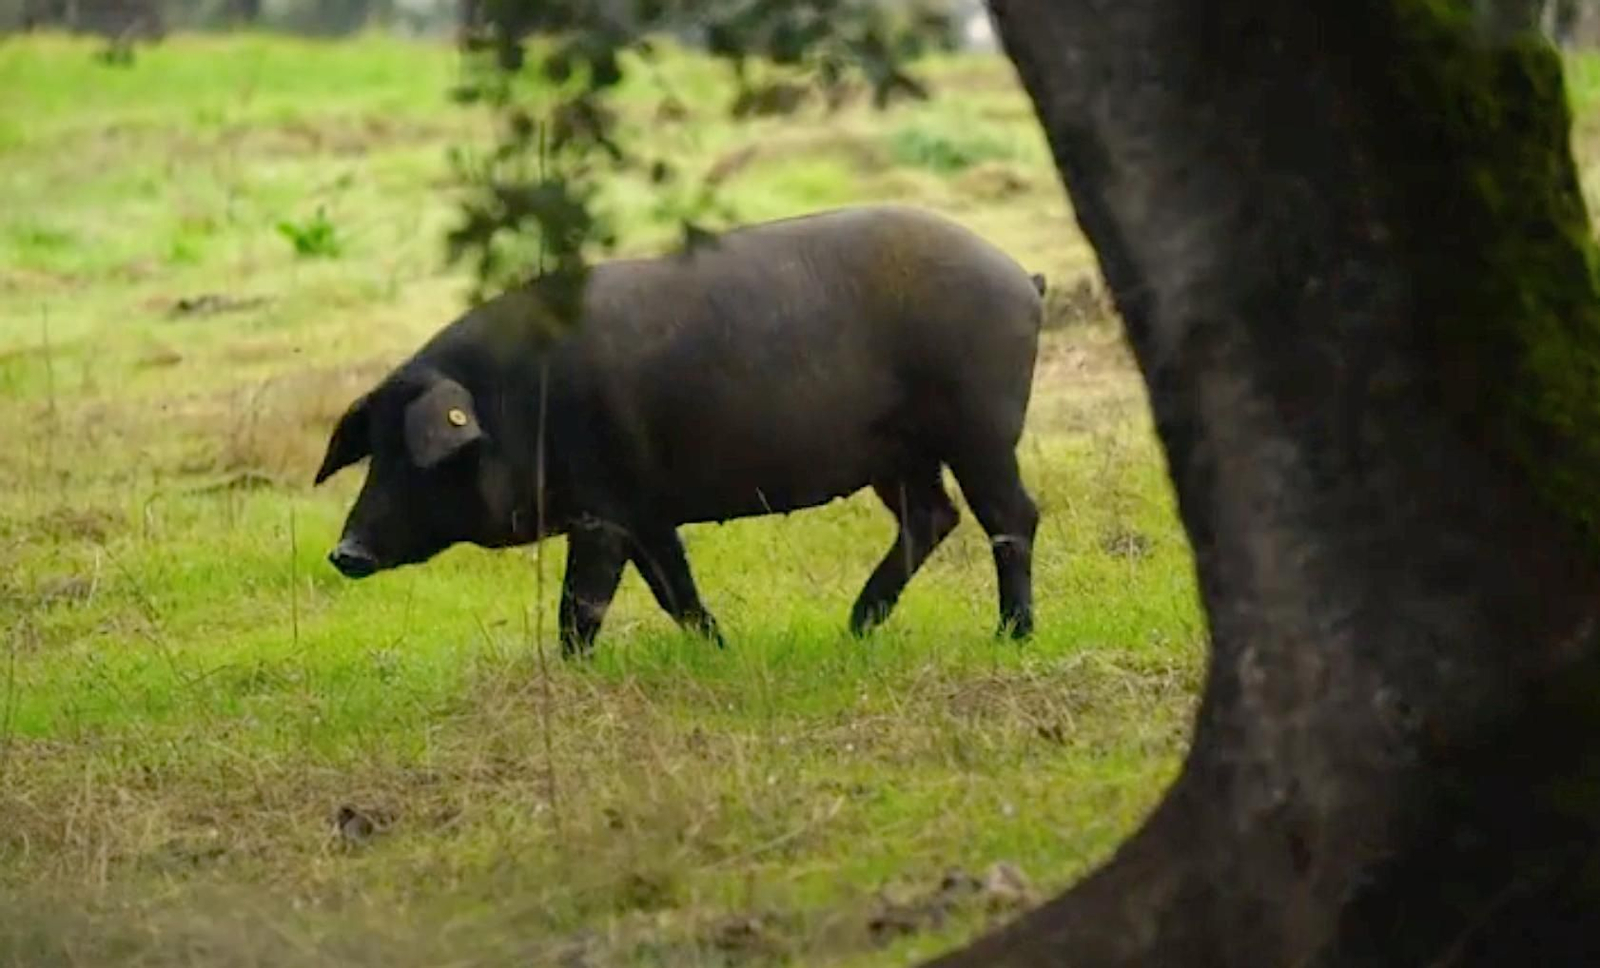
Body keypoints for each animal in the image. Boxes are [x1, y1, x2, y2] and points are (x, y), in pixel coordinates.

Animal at [314, 204, 1045, 655]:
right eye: (374, 449)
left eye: (420, 455)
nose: (345, 551)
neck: (517, 402)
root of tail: (1021, 276)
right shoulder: (644, 511)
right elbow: (676, 591)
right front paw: (721, 651)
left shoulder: (603, 508)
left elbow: (583, 604)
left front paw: (572, 671)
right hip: (900, 455)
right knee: (933, 516)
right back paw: (856, 629)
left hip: (980, 427)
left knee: (1011, 515)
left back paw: (1010, 637)